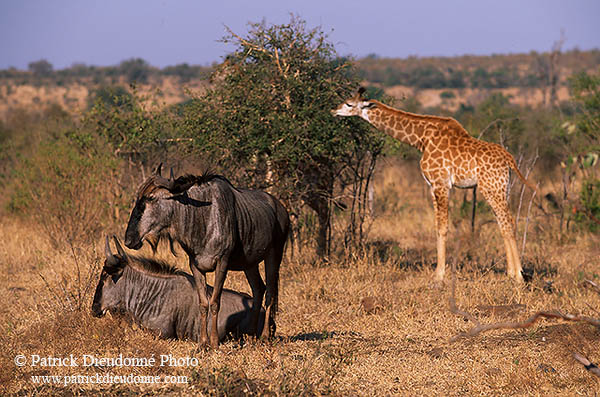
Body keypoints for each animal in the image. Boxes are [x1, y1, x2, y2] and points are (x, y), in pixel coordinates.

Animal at [332, 88, 540, 284]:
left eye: (349, 103)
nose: (333, 111)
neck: (422, 139)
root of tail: (510, 159)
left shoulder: (441, 184)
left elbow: (443, 227)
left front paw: (439, 275)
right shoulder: (432, 186)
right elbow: (436, 226)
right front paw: (439, 273)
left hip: (491, 188)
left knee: (507, 222)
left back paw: (518, 276)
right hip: (501, 188)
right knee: (505, 222)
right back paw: (511, 273)